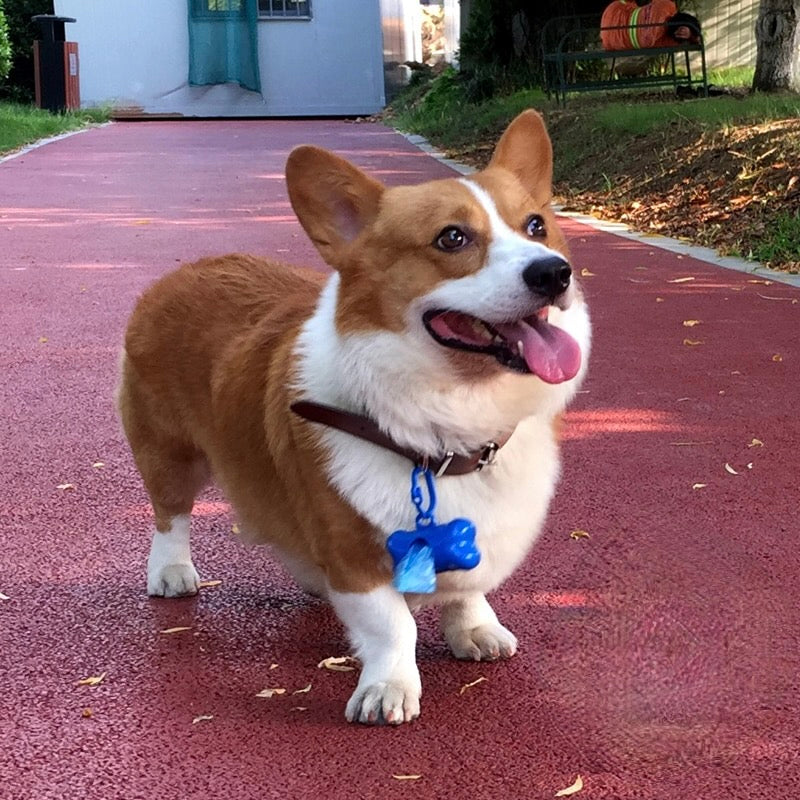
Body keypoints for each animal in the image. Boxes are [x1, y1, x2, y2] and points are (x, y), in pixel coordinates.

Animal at [120, 111, 592, 724]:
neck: (444, 427)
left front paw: (474, 629)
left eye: (536, 225)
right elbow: (392, 626)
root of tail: (184, 270)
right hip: (169, 451)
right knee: (170, 513)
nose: (554, 273)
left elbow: (468, 589)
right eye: (452, 237)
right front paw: (388, 688)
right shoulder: (352, 551)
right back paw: (171, 571)